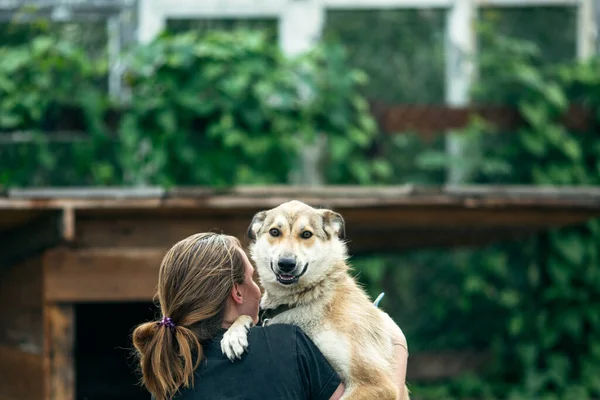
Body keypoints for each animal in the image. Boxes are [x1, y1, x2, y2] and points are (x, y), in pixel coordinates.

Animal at [223, 202, 410, 398]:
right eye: (274, 232)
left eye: (306, 234)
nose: (286, 264)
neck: (303, 300)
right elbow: (246, 316)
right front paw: (233, 336)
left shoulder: (377, 384)